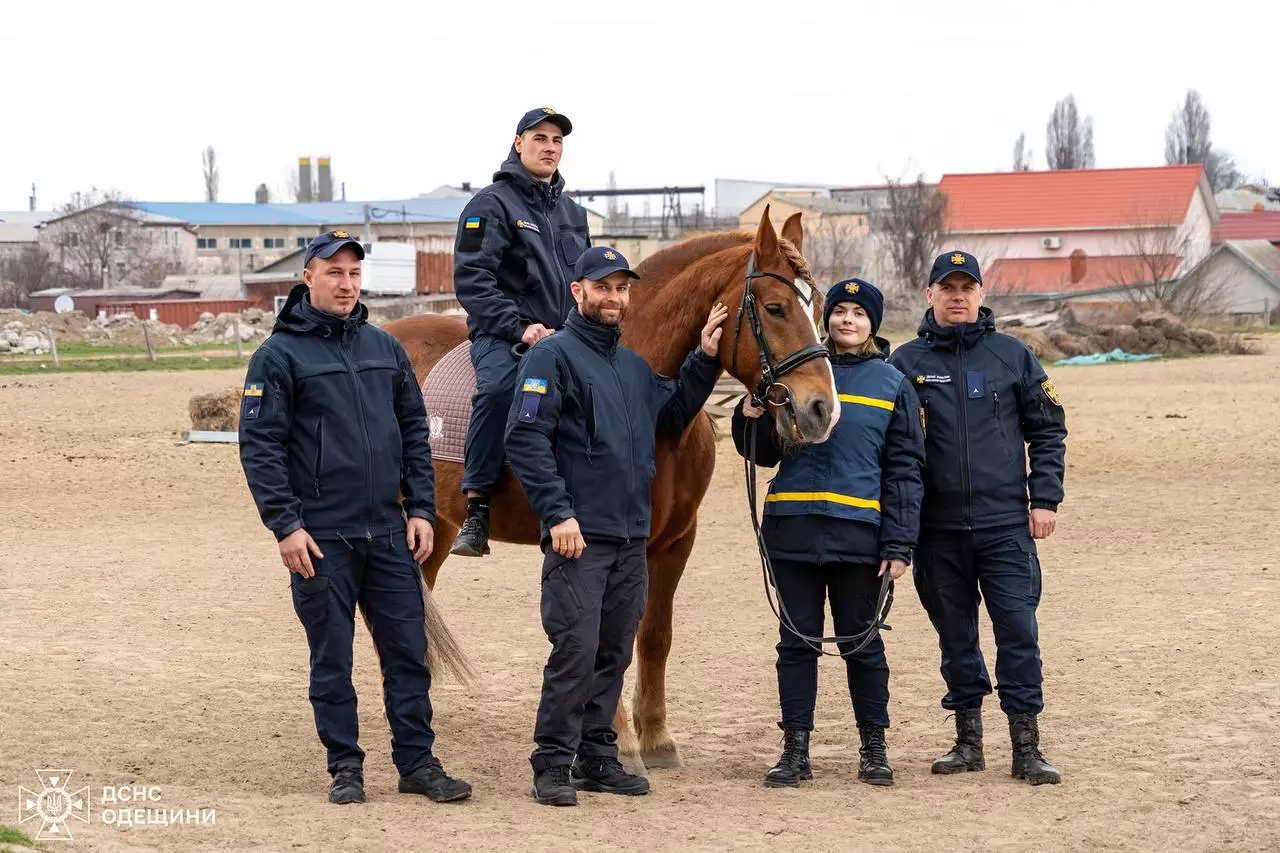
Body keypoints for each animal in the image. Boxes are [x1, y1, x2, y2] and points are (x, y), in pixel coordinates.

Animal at [381, 207, 839, 768]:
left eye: (816, 306)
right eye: (775, 308)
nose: (821, 410)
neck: (646, 397)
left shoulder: (676, 542)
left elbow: (655, 635)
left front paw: (658, 738)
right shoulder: (610, 542)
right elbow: (604, 636)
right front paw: (616, 744)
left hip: (435, 528)